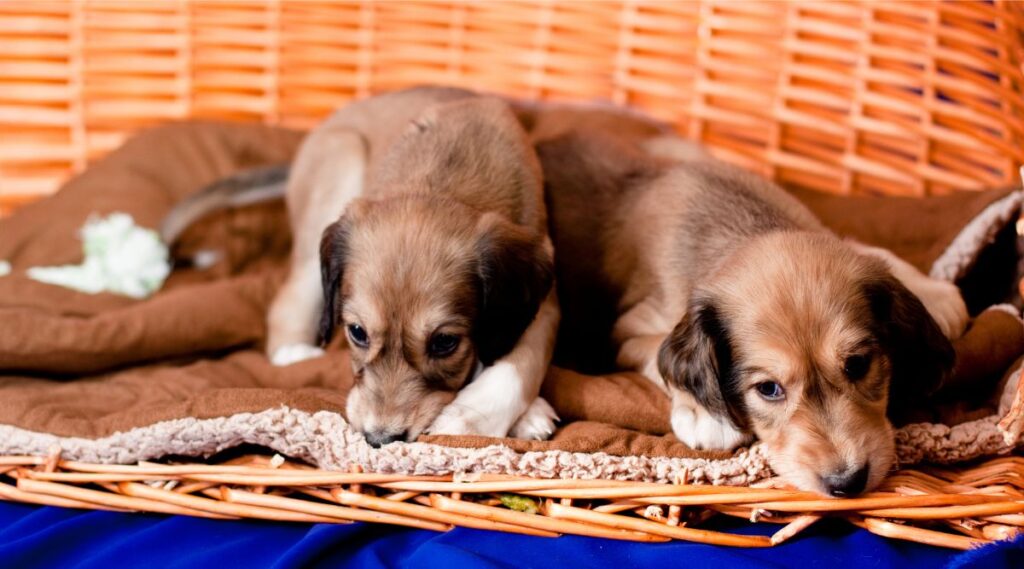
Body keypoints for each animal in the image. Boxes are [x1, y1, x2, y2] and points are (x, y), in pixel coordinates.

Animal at [520, 104, 966, 495]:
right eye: (768, 389)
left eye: (857, 365)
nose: (847, 483)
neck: (744, 228)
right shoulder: (630, 331)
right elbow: (657, 355)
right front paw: (704, 413)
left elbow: (864, 247)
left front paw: (935, 293)